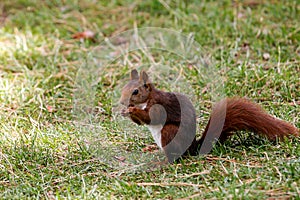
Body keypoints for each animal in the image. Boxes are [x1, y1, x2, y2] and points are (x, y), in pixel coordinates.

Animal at [120, 69, 300, 162]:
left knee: (175, 155)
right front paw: (126, 112)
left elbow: (152, 118)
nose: (122, 102)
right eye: (123, 88)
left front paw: (132, 110)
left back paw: (164, 160)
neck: (147, 100)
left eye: (135, 91)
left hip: (170, 132)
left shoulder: (159, 106)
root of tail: (193, 148)